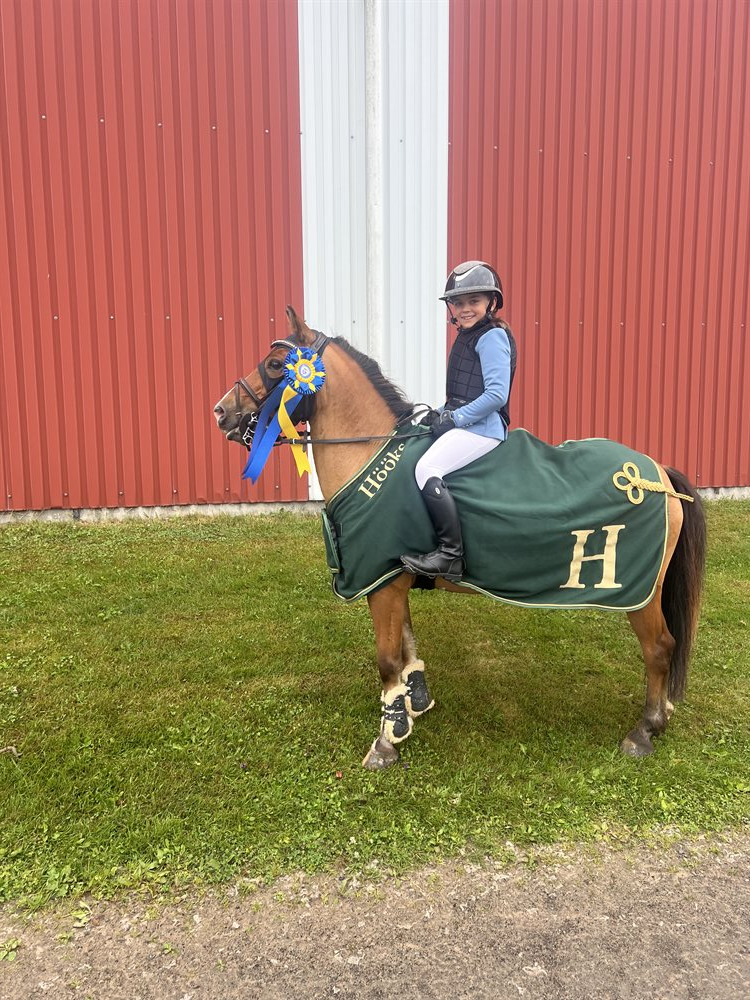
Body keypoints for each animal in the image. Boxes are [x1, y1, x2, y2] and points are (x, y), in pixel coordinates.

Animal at [213, 307, 706, 771]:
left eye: (276, 365)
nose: (221, 411)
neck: (368, 453)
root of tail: (657, 475)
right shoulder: (391, 577)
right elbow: (407, 648)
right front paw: (413, 705)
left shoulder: (382, 584)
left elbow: (387, 659)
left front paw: (386, 742)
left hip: (641, 596)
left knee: (659, 649)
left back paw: (645, 730)